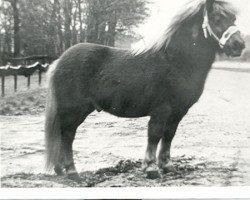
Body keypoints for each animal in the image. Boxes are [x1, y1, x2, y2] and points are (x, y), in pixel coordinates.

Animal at [44, 0, 244, 181]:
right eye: (217, 19)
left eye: (233, 18)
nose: (239, 44)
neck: (175, 62)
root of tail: (59, 61)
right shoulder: (162, 110)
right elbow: (154, 135)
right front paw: (151, 169)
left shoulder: (178, 112)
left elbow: (169, 135)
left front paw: (166, 166)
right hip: (74, 110)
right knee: (68, 135)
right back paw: (72, 172)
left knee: (63, 135)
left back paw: (60, 169)